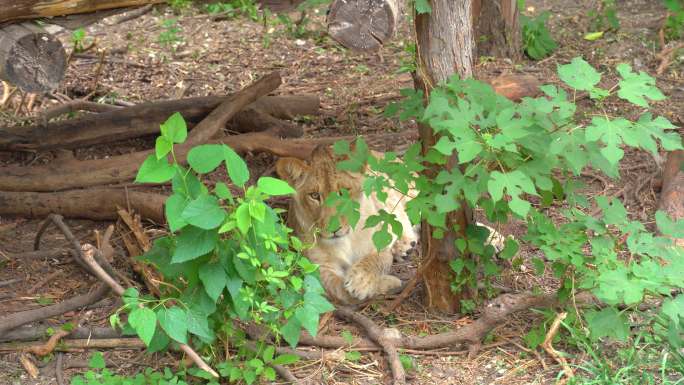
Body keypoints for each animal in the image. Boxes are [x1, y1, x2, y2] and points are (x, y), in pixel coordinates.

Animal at [276, 144, 416, 304]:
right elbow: (341, 291)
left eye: (342, 192)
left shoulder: (380, 247)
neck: (345, 242)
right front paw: (389, 282)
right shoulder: (319, 269)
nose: (334, 229)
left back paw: (404, 246)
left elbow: (374, 261)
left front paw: (360, 281)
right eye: (314, 195)